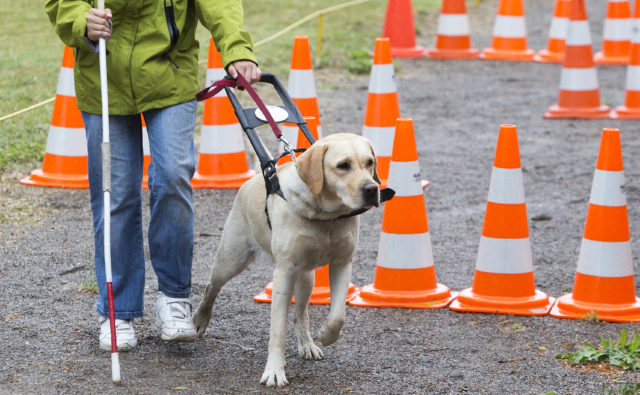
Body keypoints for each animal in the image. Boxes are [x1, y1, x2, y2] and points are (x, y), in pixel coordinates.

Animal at [192, 133, 378, 386]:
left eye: (370, 163)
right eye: (343, 166)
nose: (372, 188)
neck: (325, 216)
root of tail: (254, 178)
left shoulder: (342, 263)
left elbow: (338, 315)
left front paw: (327, 335)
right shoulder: (283, 273)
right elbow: (278, 330)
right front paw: (274, 371)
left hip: (306, 278)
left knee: (301, 314)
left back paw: (307, 344)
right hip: (231, 260)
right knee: (212, 286)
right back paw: (200, 319)